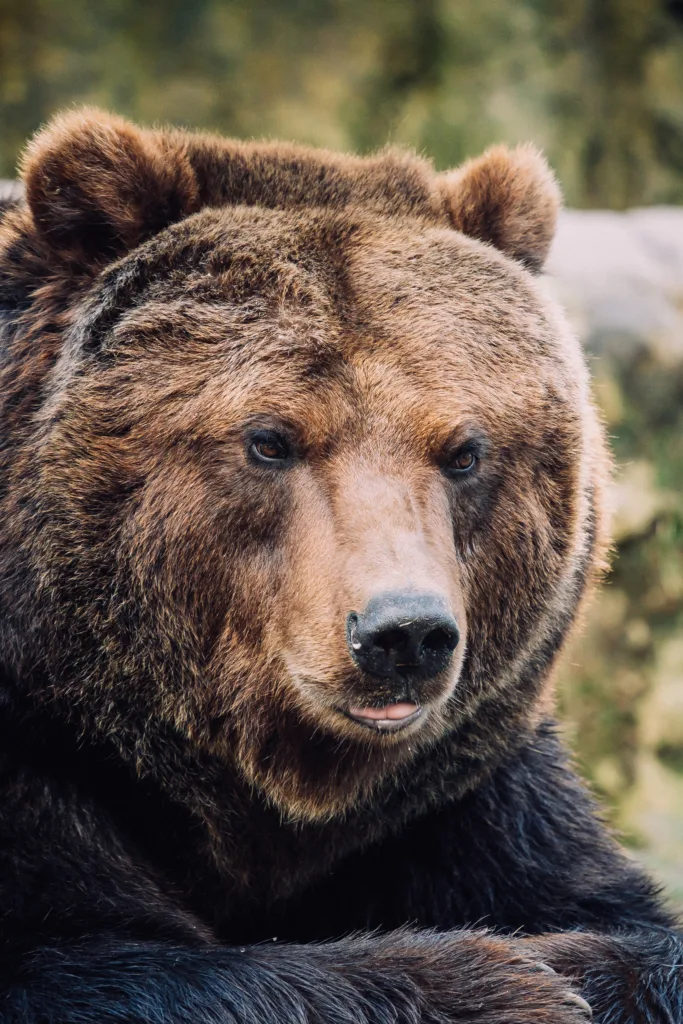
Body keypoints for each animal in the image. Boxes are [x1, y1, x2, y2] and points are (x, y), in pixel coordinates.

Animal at [0, 105, 679, 1024]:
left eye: (463, 450)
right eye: (269, 439)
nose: (402, 633)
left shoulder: (459, 798)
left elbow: (616, 914)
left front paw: (568, 964)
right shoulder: (35, 768)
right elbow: (83, 956)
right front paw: (503, 980)